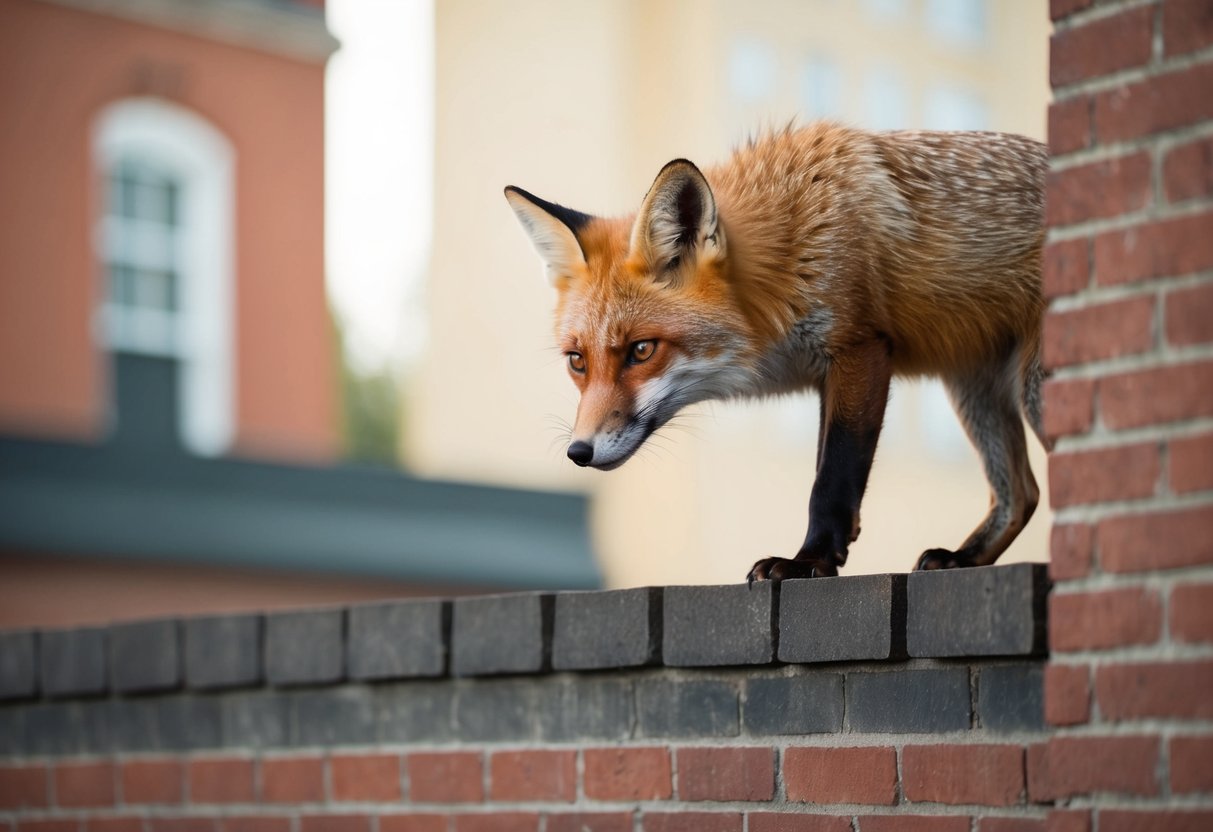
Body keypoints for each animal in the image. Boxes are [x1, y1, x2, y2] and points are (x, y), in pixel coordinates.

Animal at [504, 122, 1049, 582]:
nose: (579, 451)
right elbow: (826, 472)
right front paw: (825, 555)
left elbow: (831, 479)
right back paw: (963, 559)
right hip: (973, 387)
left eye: (641, 350)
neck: (794, 239)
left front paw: (809, 562)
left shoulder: (859, 347)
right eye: (578, 361)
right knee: (1022, 493)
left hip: (1034, 391)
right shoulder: (831, 372)